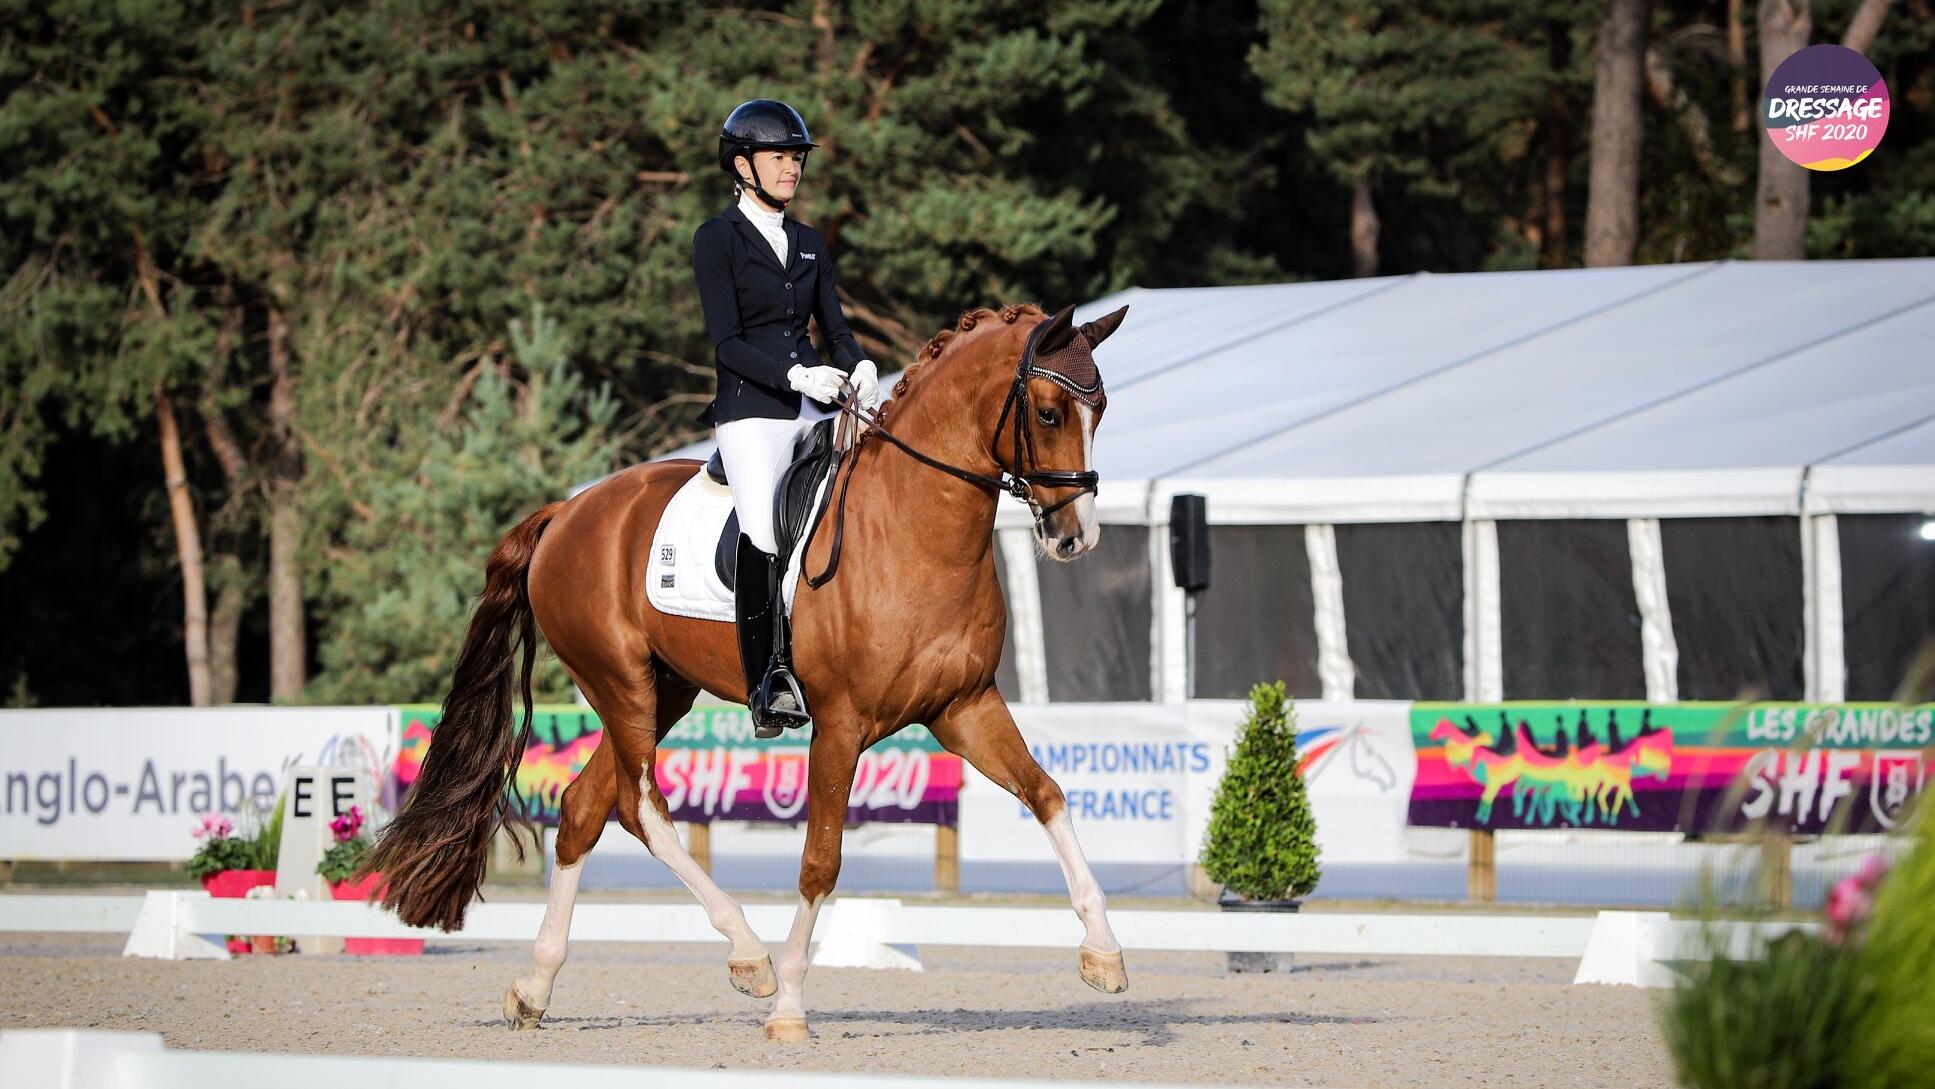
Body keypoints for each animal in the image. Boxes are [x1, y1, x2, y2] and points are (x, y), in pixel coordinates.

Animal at [359, 299, 1130, 1036]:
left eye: (1101, 411)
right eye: (1049, 411)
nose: (1076, 537)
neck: (914, 528)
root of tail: (567, 510)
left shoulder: (963, 706)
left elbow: (1047, 794)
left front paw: (1103, 951)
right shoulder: (841, 724)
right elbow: (820, 861)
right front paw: (788, 1004)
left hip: (661, 690)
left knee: (582, 808)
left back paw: (535, 988)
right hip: (619, 682)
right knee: (642, 808)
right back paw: (749, 956)